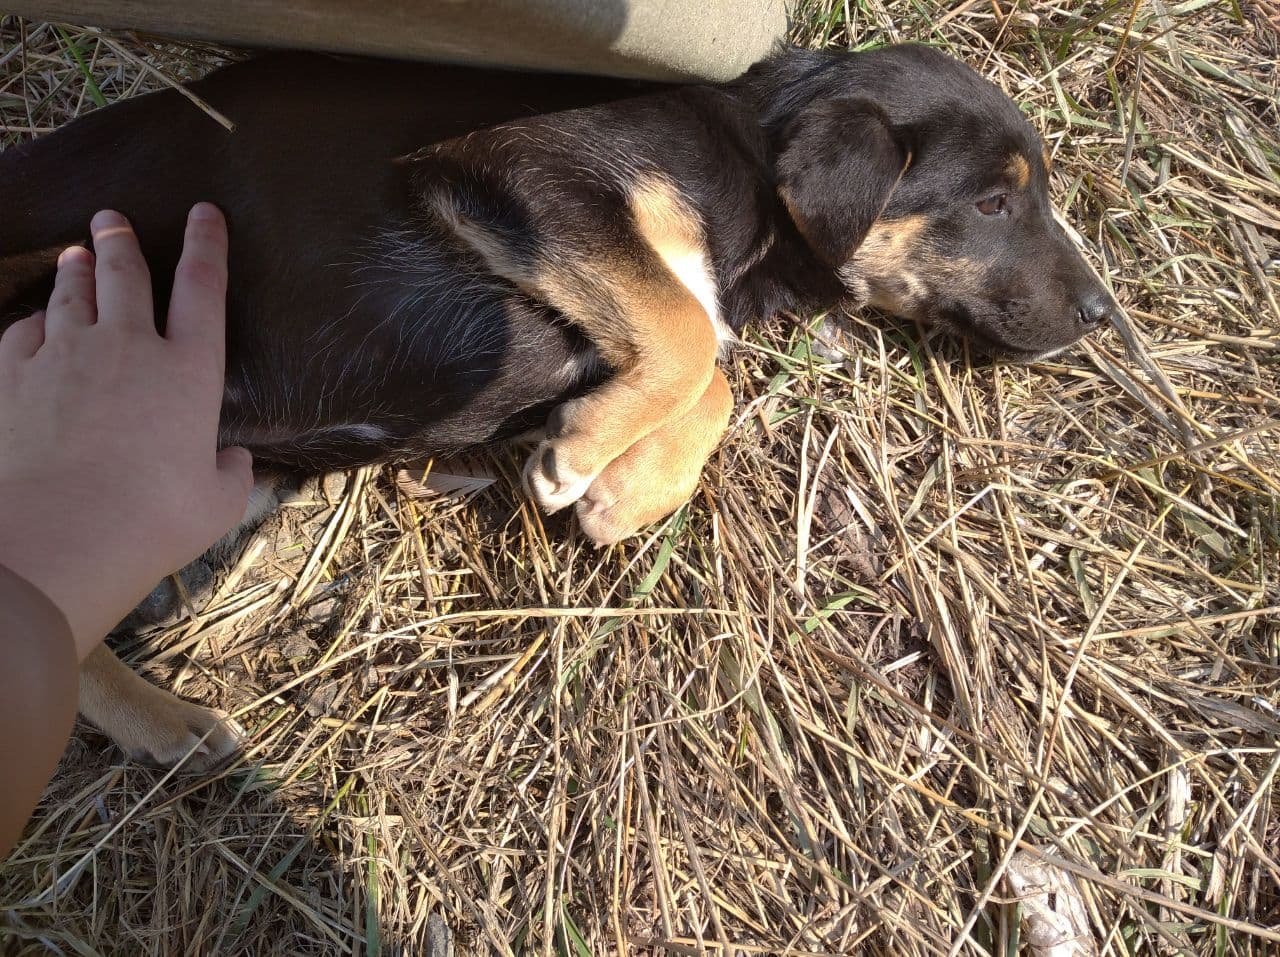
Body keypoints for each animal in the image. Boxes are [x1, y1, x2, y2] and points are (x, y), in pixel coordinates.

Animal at [0, 42, 1116, 767]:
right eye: (992, 201)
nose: (1105, 315)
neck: (753, 152)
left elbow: (706, 355)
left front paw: (630, 484)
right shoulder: (523, 172)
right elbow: (687, 330)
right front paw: (585, 459)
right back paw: (169, 718)